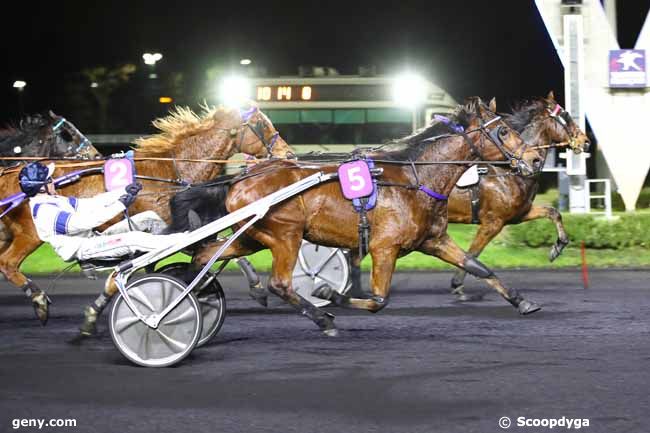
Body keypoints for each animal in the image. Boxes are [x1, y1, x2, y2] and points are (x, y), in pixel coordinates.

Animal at [0, 103, 292, 324]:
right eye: (263, 125)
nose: (287, 152)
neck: (174, 170)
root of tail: (11, 174)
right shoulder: (172, 230)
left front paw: (256, 288)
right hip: (29, 234)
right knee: (8, 263)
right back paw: (39, 300)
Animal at [171, 98, 540, 334]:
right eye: (503, 131)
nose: (535, 160)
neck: (416, 178)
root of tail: (240, 177)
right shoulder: (384, 247)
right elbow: (378, 300)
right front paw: (328, 294)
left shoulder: (434, 240)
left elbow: (479, 266)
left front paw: (523, 302)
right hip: (285, 235)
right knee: (280, 283)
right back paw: (323, 320)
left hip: (252, 237)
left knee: (204, 255)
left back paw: (193, 298)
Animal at [446, 91, 588, 300]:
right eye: (566, 116)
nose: (585, 141)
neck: (511, 170)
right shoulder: (493, 222)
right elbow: (473, 253)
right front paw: (457, 284)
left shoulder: (519, 214)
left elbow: (553, 212)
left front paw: (558, 246)